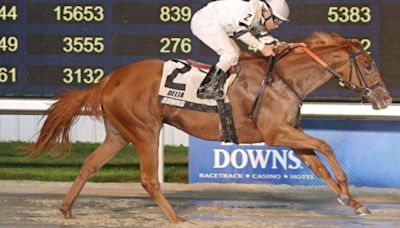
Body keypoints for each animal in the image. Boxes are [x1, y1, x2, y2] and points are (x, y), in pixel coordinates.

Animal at [27, 32, 390, 223]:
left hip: (119, 133)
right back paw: (176, 219)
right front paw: (346, 189)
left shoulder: (290, 136)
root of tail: (110, 78)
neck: (283, 80)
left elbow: (319, 165)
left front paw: (352, 201)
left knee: (89, 165)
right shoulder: (276, 134)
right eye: (368, 65)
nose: (385, 99)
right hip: (146, 131)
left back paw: (66, 209)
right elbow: (325, 147)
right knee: (148, 179)